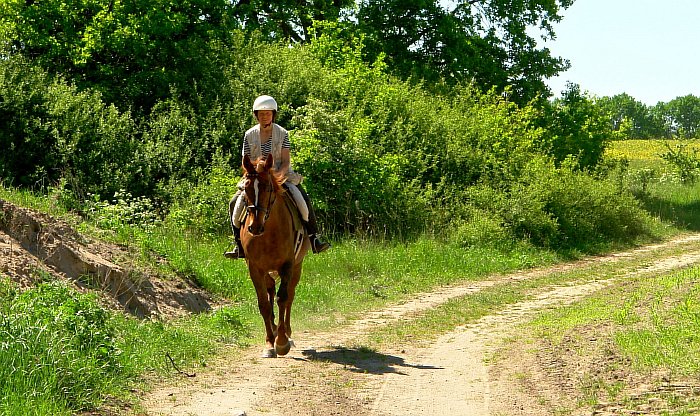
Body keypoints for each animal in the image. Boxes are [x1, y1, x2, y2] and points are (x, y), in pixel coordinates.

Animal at [241, 154, 308, 358]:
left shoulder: (287, 265)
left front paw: (282, 342)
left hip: (297, 266)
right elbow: (263, 303)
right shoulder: (255, 268)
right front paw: (270, 343)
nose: (254, 227)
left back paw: (287, 332)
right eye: (246, 188)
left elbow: (282, 298)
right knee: (270, 290)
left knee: (290, 296)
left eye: (268, 188)